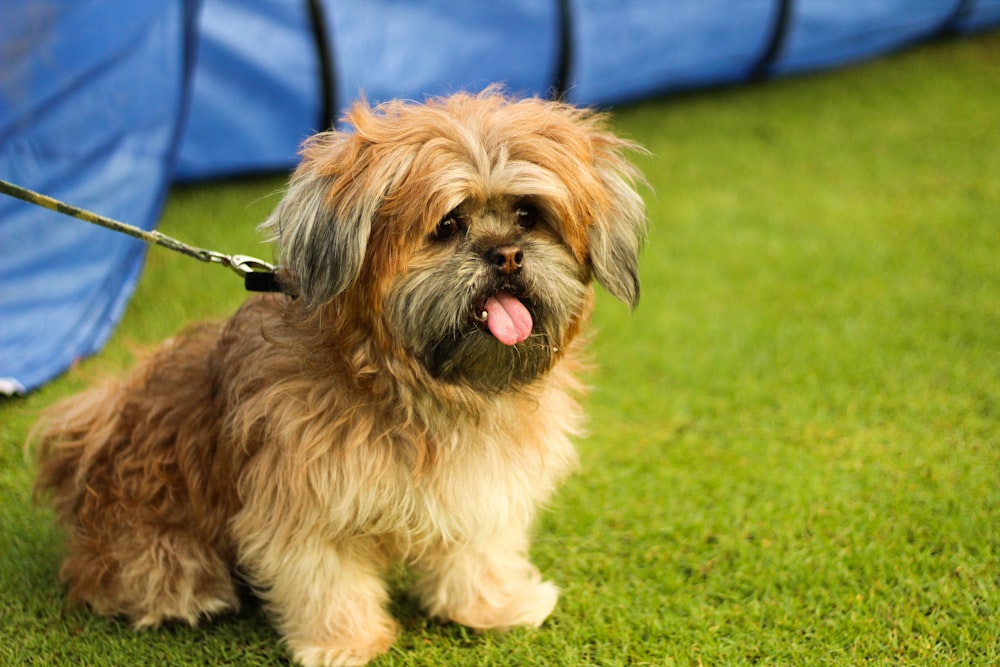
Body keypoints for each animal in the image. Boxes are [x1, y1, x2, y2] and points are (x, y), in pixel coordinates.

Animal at [33, 88, 648, 667]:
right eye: (448, 225)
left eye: (527, 216)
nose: (507, 255)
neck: (421, 391)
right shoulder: (304, 502)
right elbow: (325, 578)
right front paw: (344, 642)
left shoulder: (481, 485)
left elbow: (480, 551)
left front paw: (493, 606)